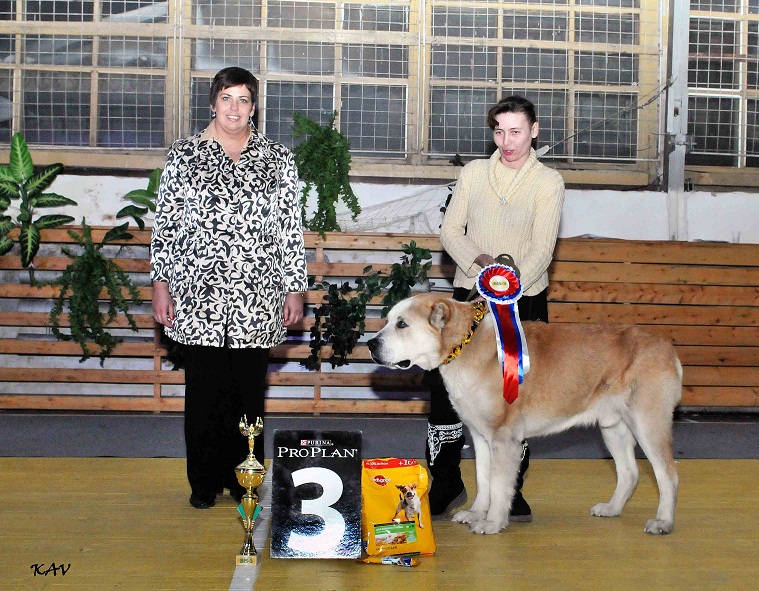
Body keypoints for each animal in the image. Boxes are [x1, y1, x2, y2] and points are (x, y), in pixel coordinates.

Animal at [367, 293, 681, 536]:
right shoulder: (481, 437)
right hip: (612, 426)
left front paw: (492, 522)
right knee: (629, 472)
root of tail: (667, 348)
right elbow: (483, 479)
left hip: (648, 423)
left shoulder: (503, 438)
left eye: (402, 324)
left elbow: (498, 484)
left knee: (668, 474)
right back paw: (612, 508)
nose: (371, 344)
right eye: (388, 321)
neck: (465, 345)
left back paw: (663, 522)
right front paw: (476, 513)